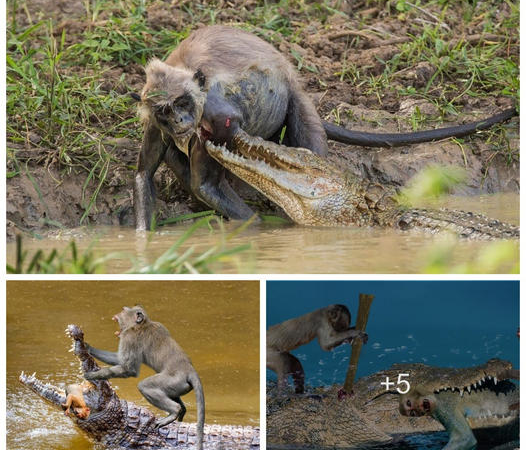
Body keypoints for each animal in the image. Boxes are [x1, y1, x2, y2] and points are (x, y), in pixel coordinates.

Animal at [83, 304, 205, 448]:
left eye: (124, 310)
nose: (119, 311)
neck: (143, 324)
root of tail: (189, 370)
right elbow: (119, 359)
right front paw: (87, 347)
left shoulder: (130, 337)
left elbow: (129, 369)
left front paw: (93, 375)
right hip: (179, 386)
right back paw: (182, 412)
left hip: (173, 380)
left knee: (145, 386)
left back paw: (174, 411)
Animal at [133, 24, 520, 229]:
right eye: (167, 110)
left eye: (184, 104)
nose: (181, 121)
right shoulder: (157, 123)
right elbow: (145, 175)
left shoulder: (213, 113)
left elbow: (209, 181)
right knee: (175, 157)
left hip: (297, 101)